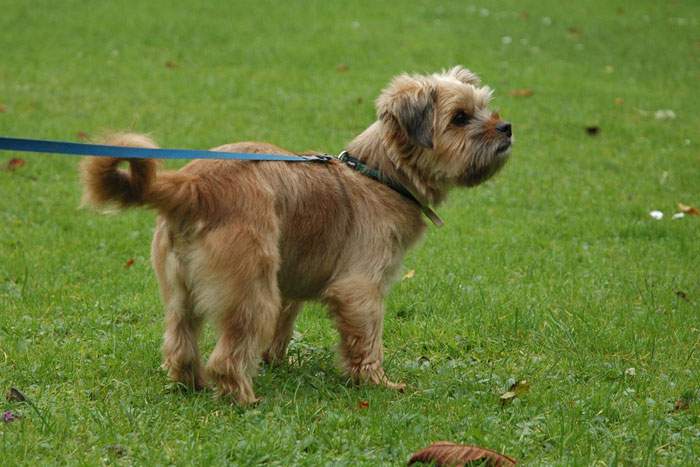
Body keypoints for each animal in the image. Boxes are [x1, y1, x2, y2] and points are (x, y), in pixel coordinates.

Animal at [82, 66, 512, 406]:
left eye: (485, 107)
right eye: (460, 118)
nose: (506, 127)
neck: (379, 175)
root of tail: (194, 186)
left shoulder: (291, 282)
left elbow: (283, 328)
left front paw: (278, 361)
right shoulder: (360, 291)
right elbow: (367, 341)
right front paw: (376, 383)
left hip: (180, 293)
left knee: (180, 345)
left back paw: (195, 384)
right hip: (252, 292)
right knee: (228, 355)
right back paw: (243, 397)